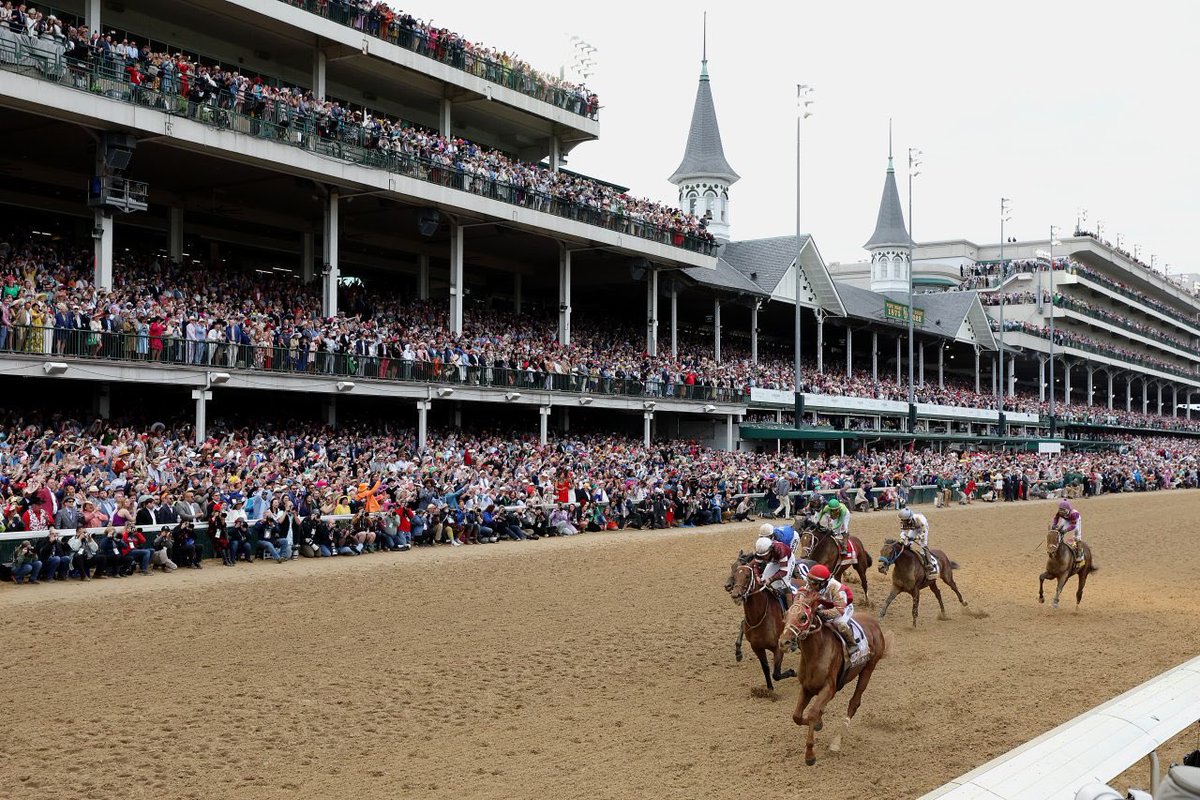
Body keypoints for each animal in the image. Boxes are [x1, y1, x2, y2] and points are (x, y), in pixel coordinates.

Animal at [720, 556, 796, 690]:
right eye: (734, 574)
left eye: (747, 576)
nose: (735, 595)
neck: (759, 617)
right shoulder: (757, 647)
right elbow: (766, 668)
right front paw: (769, 690)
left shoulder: (778, 648)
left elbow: (776, 674)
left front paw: (792, 672)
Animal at [777, 592, 892, 767]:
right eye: (785, 615)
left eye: (803, 617)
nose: (783, 642)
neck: (816, 653)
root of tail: (875, 624)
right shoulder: (806, 687)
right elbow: (797, 716)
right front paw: (818, 723)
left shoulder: (829, 688)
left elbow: (812, 713)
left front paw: (810, 754)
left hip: (868, 669)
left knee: (854, 703)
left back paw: (837, 741)